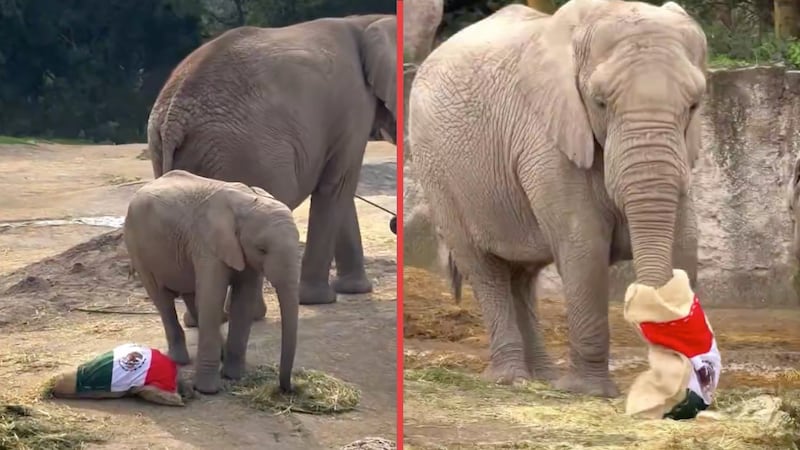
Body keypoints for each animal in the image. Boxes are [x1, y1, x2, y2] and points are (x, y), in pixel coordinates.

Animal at [123, 170, 300, 394]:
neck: (247, 202)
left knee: (192, 296)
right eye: (262, 249)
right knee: (163, 299)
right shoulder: (207, 244)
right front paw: (207, 390)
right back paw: (180, 361)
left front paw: (234, 377)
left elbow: (244, 301)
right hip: (137, 247)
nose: (287, 388)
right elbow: (212, 297)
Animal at [147, 14, 397, 306]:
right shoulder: (354, 105)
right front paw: (319, 300)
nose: (393, 224)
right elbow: (337, 185)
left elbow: (341, 189)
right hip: (243, 152)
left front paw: (353, 290)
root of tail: (174, 114)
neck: (364, 21)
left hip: (169, 147)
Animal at [407, 0, 705, 397]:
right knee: (486, 270)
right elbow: (584, 248)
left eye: (694, 105)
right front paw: (589, 393)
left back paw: (542, 377)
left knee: (522, 276)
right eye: (600, 102)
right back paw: (510, 379)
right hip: (438, 173)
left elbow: (684, 243)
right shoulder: (546, 139)